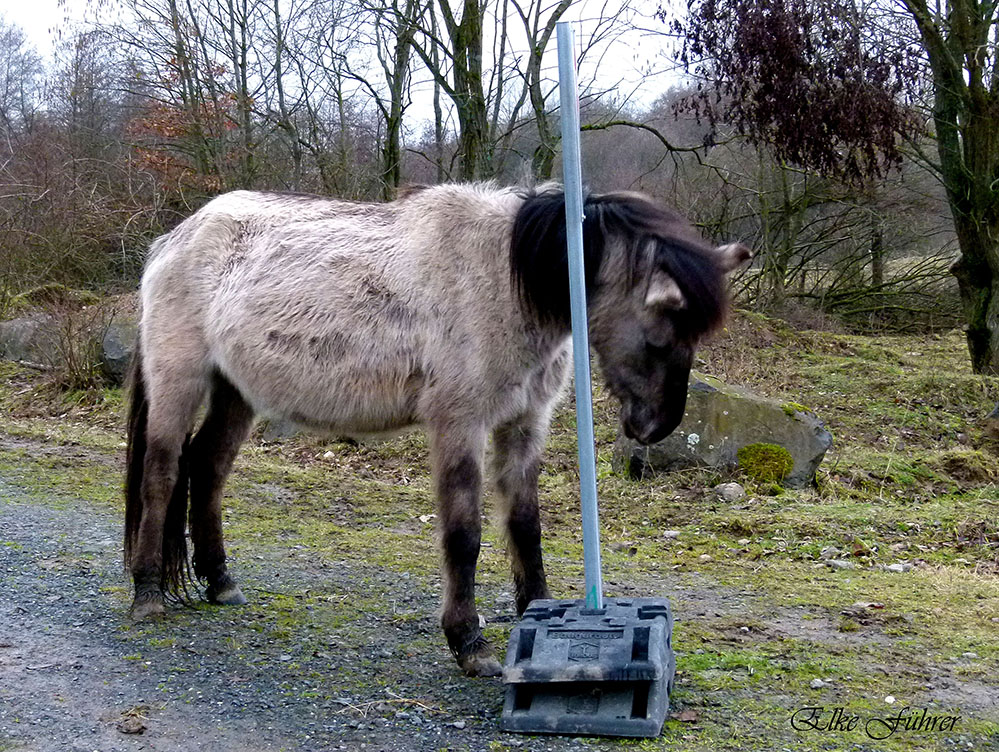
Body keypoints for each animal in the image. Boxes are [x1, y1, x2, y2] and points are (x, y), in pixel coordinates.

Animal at [123, 182, 752, 676]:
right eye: (662, 336)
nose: (656, 427)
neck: (503, 279)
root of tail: (173, 241)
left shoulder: (524, 426)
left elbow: (525, 525)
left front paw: (538, 615)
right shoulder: (460, 426)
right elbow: (464, 535)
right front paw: (469, 643)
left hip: (236, 393)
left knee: (207, 469)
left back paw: (219, 581)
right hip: (179, 382)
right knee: (162, 473)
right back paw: (147, 592)